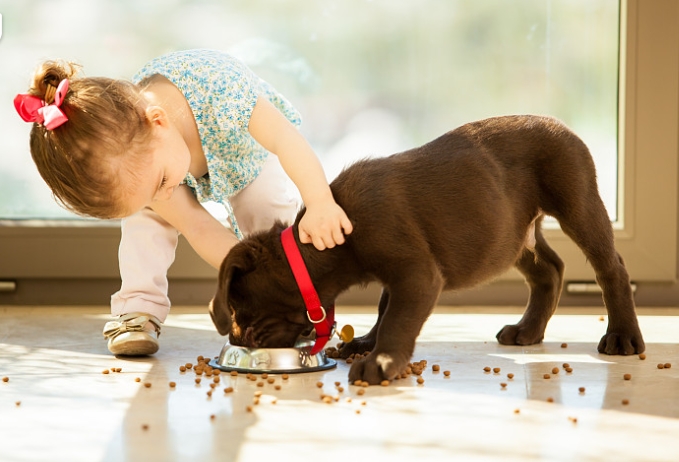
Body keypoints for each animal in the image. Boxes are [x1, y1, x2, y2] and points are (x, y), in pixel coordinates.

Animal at [210, 114, 644, 382]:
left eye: (240, 309)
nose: (239, 340)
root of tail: (560, 124)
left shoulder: (415, 273)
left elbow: (398, 318)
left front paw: (380, 361)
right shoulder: (400, 274)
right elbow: (385, 308)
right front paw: (366, 344)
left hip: (577, 202)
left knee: (612, 268)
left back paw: (622, 337)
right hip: (511, 235)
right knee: (549, 269)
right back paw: (528, 330)